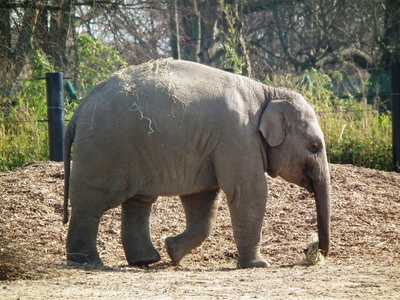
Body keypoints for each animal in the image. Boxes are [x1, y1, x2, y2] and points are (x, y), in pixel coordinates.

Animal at [63, 57, 332, 268]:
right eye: (314, 147)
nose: (314, 250)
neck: (268, 93)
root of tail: (79, 111)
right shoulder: (237, 138)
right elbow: (248, 192)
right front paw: (259, 265)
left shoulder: (211, 148)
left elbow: (202, 199)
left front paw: (172, 251)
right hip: (103, 149)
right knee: (91, 202)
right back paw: (88, 262)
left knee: (138, 201)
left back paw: (145, 260)